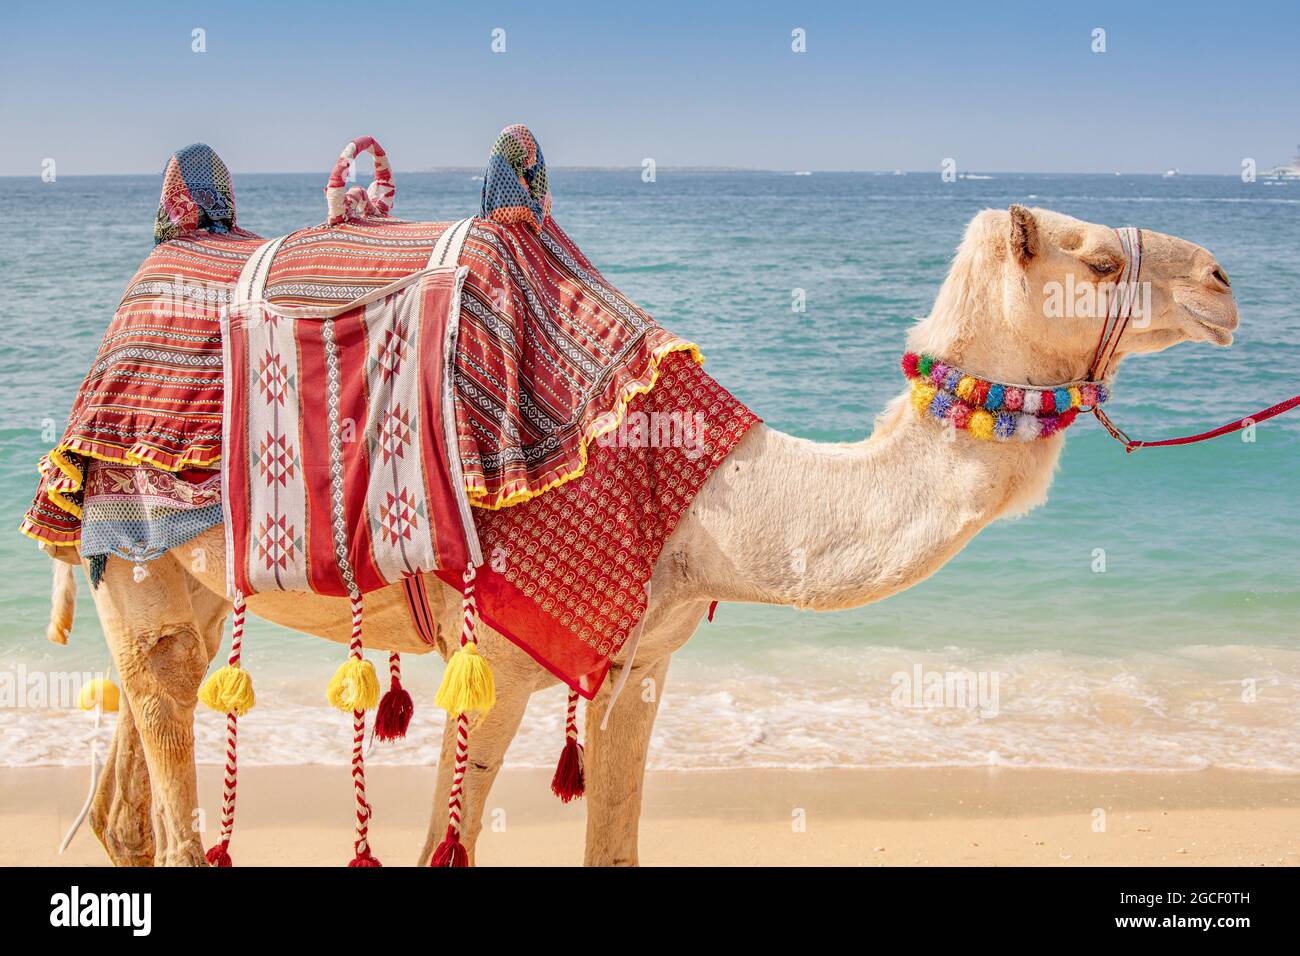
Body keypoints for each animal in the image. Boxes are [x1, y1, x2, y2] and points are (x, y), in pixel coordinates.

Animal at [43, 208, 1237, 868]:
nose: (1224, 281)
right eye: (1095, 261)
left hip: (186, 592)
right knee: (171, 807)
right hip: (136, 551)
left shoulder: (641, 663)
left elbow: (614, 844)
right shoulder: (499, 657)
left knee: (129, 793)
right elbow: (443, 848)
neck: (698, 494)